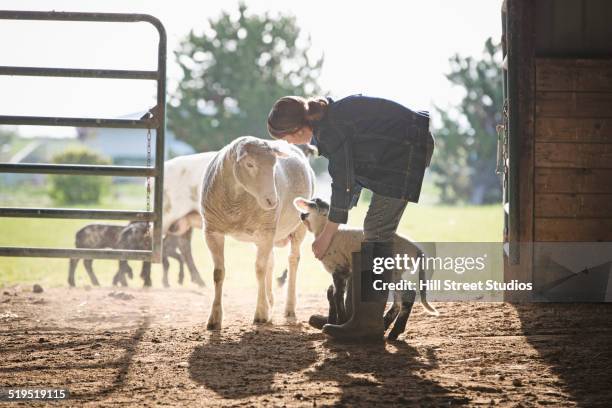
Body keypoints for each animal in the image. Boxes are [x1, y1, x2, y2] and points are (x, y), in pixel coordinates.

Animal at [201, 136, 316, 328]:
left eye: (274, 164)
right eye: (249, 164)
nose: (272, 201)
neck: (236, 199)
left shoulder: (265, 231)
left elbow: (259, 270)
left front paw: (261, 313)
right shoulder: (212, 231)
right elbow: (218, 273)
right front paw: (214, 318)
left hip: (297, 226)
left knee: (292, 260)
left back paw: (289, 307)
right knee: (271, 261)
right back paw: (271, 302)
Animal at [294, 198, 438, 342]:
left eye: (314, 204)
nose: (301, 213)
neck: (324, 231)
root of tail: (417, 250)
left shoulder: (340, 268)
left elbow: (337, 295)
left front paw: (339, 323)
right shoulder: (346, 271)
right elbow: (332, 293)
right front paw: (332, 320)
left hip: (393, 270)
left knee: (408, 294)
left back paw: (394, 331)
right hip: (396, 273)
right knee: (399, 299)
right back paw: (386, 325)